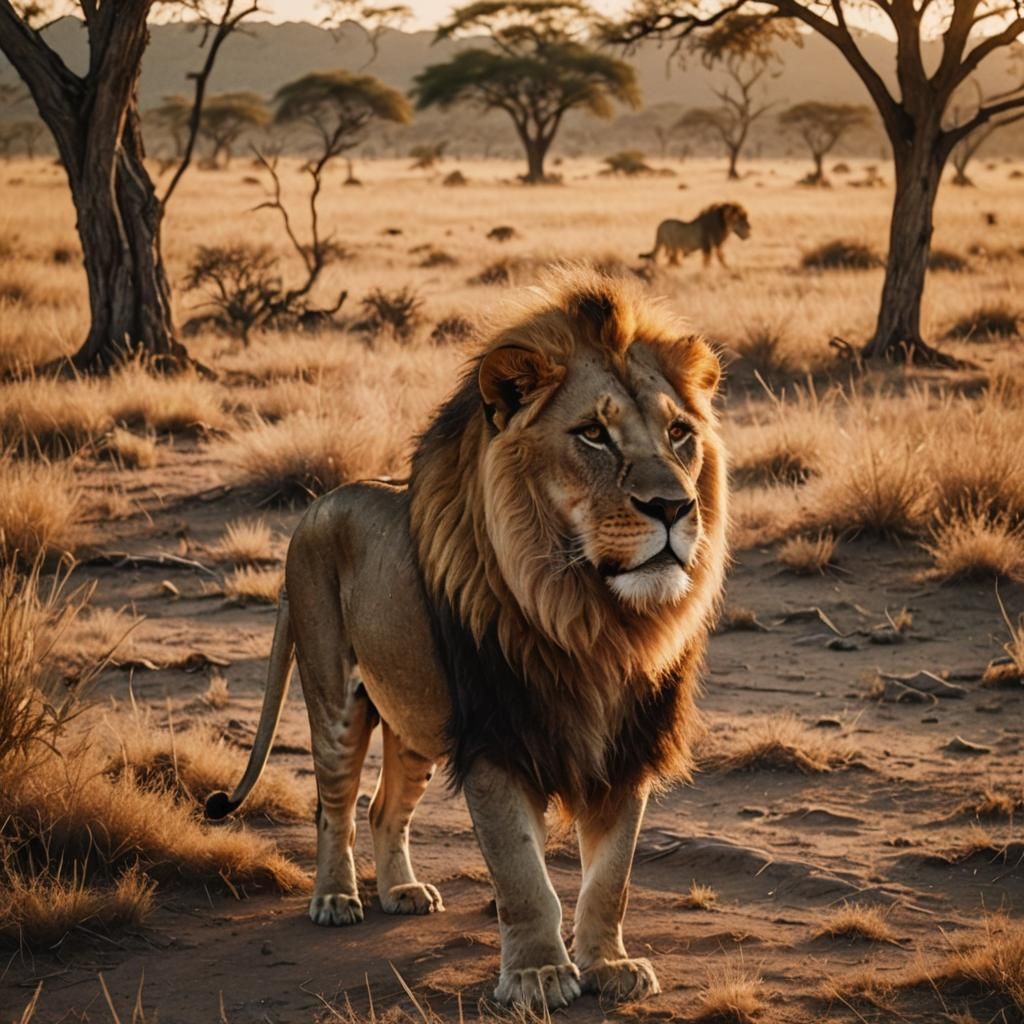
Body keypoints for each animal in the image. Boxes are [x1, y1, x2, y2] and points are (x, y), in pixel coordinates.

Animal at [206, 267, 729, 1011]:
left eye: (680, 433)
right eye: (593, 435)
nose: (674, 507)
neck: (593, 622)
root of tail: (313, 508)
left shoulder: (626, 748)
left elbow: (611, 879)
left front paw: (609, 966)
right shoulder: (495, 738)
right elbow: (522, 876)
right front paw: (539, 975)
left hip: (415, 723)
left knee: (382, 809)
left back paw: (400, 891)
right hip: (335, 699)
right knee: (334, 807)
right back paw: (336, 898)